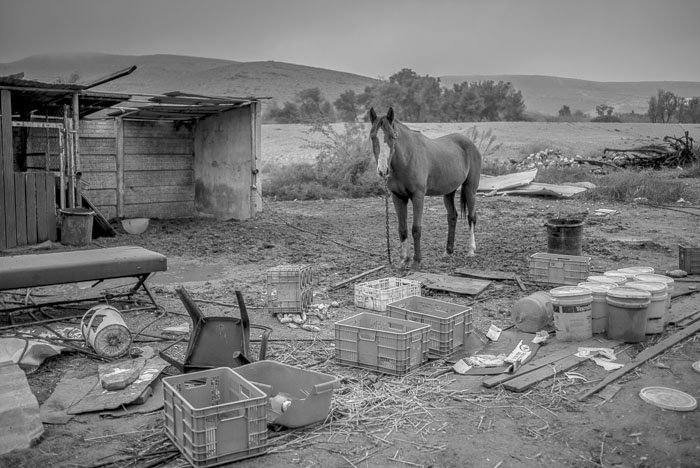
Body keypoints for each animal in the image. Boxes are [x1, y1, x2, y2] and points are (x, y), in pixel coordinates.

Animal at [372, 107, 482, 268]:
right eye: (373, 137)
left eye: (392, 137)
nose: (382, 170)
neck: (408, 158)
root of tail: (470, 144)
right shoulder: (398, 197)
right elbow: (402, 229)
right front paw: (404, 260)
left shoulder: (418, 196)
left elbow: (416, 229)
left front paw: (417, 261)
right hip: (448, 192)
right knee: (452, 217)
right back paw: (448, 251)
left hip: (470, 189)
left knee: (471, 217)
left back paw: (471, 250)